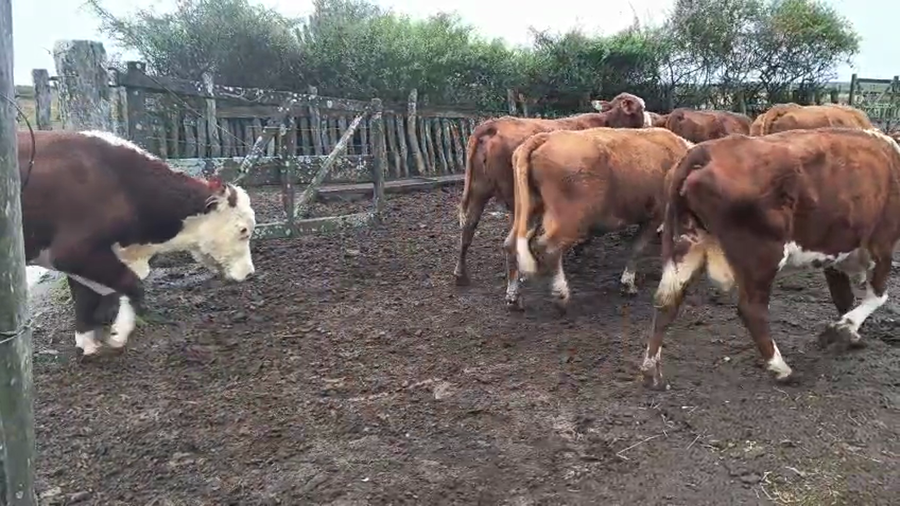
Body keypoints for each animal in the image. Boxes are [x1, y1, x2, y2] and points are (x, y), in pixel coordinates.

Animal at [20, 130, 257, 357]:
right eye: (243, 230)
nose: (250, 273)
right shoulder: (71, 252)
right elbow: (132, 284)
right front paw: (118, 334)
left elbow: (88, 297)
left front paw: (88, 344)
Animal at [453, 92, 652, 286]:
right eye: (642, 107)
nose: (649, 123)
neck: (608, 122)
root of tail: (493, 124)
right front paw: (580, 246)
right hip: (514, 198)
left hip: (479, 190)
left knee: (468, 228)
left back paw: (461, 275)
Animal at [502, 127, 694, 310]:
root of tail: (545, 137)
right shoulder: (655, 215)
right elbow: (637, 247)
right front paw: (628, 284)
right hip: (569, 219)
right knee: (549, 247)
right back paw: (561, 294)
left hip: (528, 209)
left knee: (511, 244)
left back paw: (513, 297)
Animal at [642, 127, 900, 389]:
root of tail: (704, 151)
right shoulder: (882, 242)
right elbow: (878, 296)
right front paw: (841, 330)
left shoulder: (836, 251)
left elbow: (844, 298)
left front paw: (851, 335)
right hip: (763, 255)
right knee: (752, 309)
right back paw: (781, 369)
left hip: (685, 245)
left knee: (667, 302)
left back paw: (651, 371)